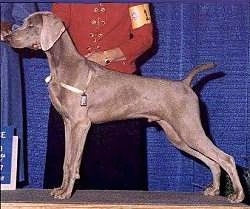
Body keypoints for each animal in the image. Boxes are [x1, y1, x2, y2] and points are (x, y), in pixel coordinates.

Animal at [3, 11, 245, 202]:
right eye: (23, 23)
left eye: (31, 26)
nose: (7, 37)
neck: (63, 66)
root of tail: (185, 83)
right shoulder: (68, 124)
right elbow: (66, 161)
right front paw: (61, 189)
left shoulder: (81, 124)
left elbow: (72, 162)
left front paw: (65, 193)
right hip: (177, 135)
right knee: (213, 161)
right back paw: (214, 190)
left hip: (189, 128)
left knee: (226, 158)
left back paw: (237, 195)